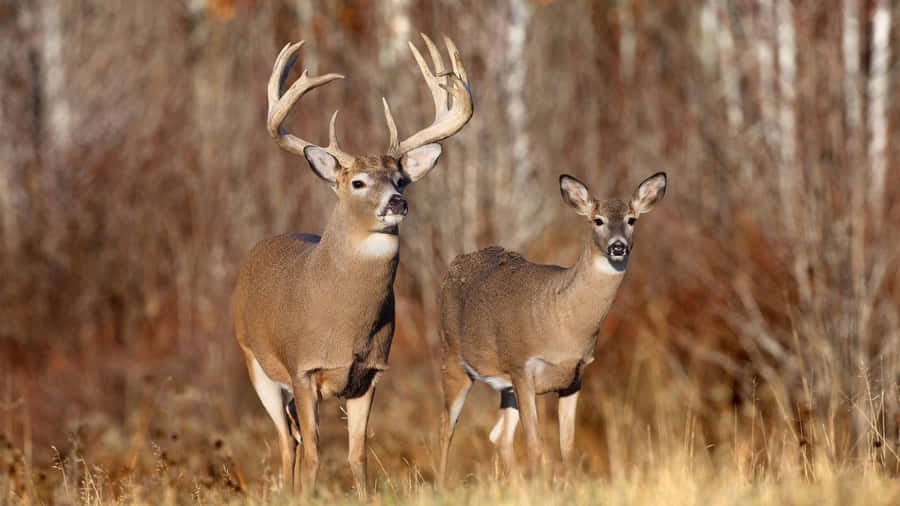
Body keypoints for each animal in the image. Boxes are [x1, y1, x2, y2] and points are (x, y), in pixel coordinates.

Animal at [233, 34, 472, 497]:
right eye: (358, 182)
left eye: (401, 179)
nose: (397, 202)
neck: (344, 326)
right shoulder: (303, 368)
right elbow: (313, 455)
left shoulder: (370, 374)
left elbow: (357, 455)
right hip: (255, 362)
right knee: (287, 442)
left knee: (291, 438)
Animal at [436, 172, 667, 482]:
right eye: (598, 220)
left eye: (632, 219)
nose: (617, 246)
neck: (564, 324)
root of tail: (454, 265)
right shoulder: (522, 366)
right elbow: (536, 444)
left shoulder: (575, 377)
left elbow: (566, 445)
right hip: (453, 356)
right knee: (446, 425)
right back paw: (440, 484)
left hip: (505, 385)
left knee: (499, 435)